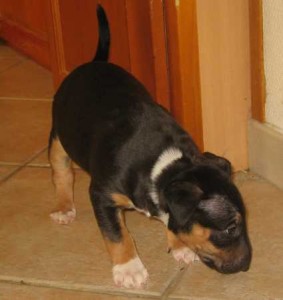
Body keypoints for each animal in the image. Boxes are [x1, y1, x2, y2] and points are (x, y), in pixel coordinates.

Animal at [49, 5, 253, 290]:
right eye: (230, 228)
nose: (245, 266)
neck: (163, 165)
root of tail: (92, 63)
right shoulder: (102, 194)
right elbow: (117, 234)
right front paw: (129, 269)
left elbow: (171, 220)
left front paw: (180, 246)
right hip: (58, 137)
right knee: (62, 173)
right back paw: (64, 208)